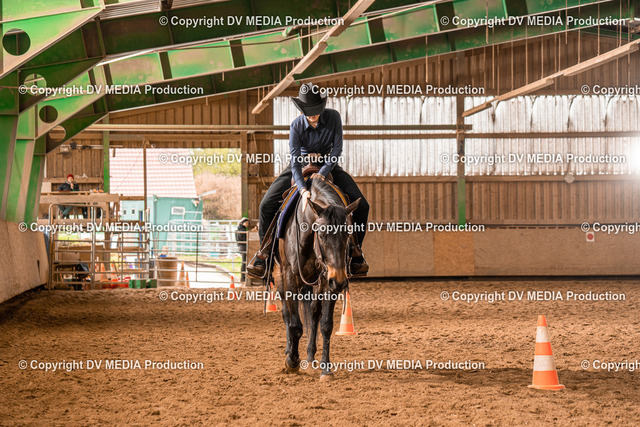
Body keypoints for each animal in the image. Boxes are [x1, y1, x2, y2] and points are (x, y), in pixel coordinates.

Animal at [274, 174, 360, 381]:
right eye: (321, 234)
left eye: (348, 234)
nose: (340, 281)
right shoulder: (290, 276)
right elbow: (295, 324)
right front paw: (292, 361)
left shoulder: (329, 279)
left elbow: (325, 324)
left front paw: (325, 367)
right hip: (279, 276)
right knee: (286, 313)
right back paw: (289, 350)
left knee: (313, 313)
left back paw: (310, 355)